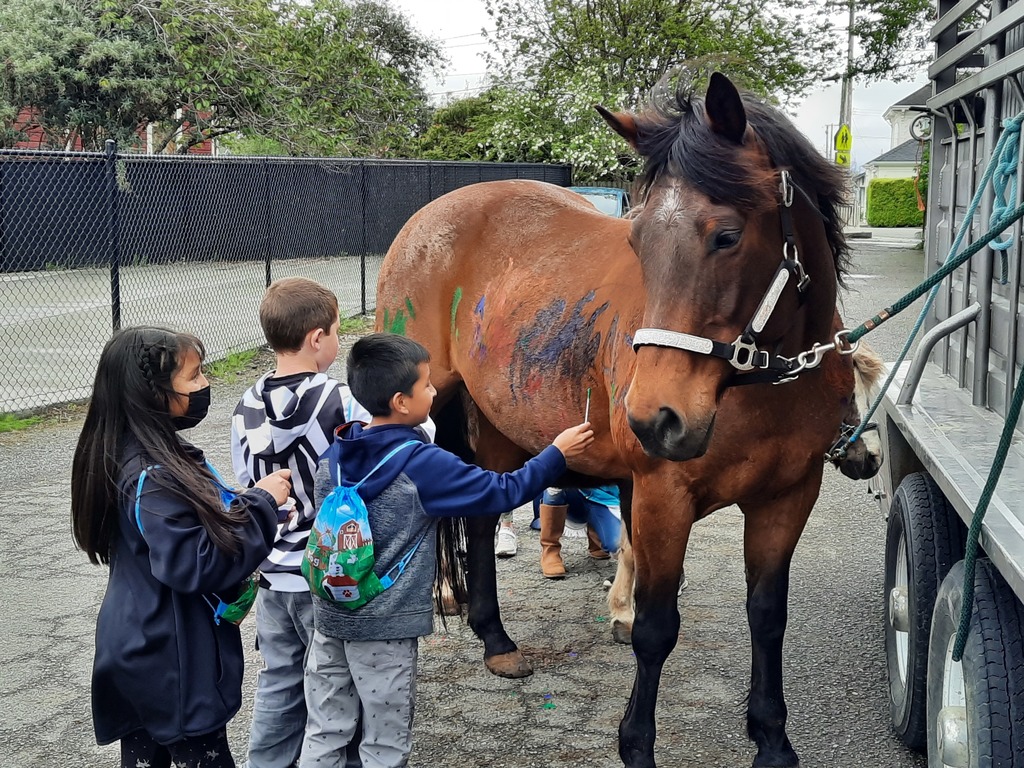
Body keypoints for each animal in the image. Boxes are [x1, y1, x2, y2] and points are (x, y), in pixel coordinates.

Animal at [376, 73, 856, 768]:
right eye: (638, 241)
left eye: (728, 235)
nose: (656, 418)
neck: (759, 385)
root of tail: (429, 217)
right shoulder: (661, 497)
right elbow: (656, 629)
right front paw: (636, 743)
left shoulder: (789, 496)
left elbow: (768, 616)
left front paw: (771, 738)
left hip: (497, 428)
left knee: (483, 516)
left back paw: (496, 640)